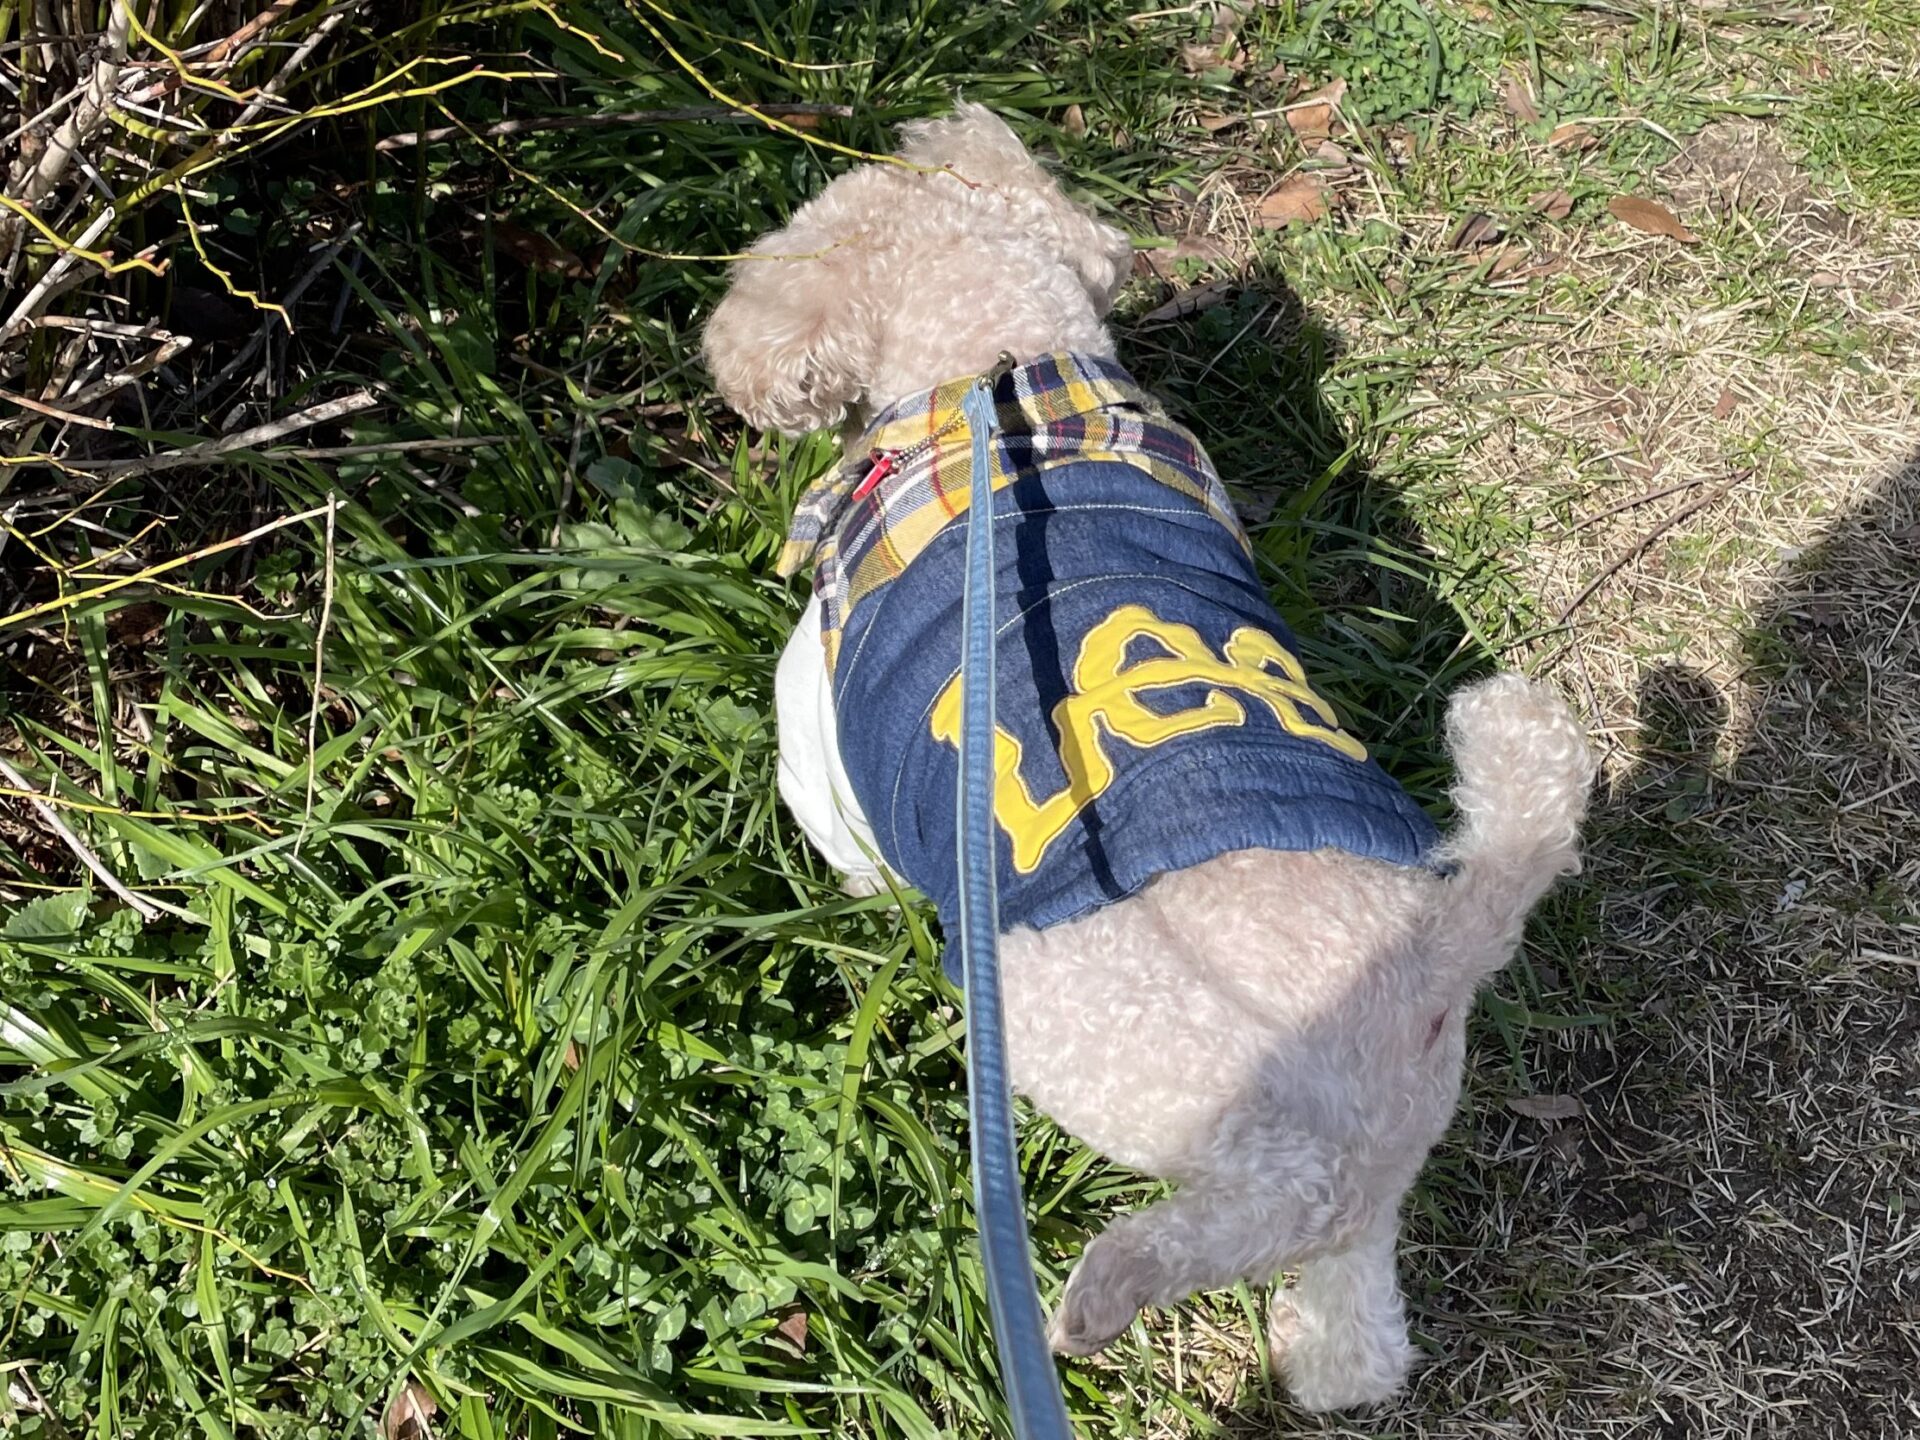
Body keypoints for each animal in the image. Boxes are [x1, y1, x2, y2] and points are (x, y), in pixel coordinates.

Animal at [706, 104, 1589, 1420]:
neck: (992, 365)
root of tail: (1439, 951)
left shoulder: (818, 738)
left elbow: (843, 837)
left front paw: (863, 901)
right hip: (1390, 1141)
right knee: (1359, 1302)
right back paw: (1319, 1361)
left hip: (1097, 1041)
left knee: (1260, 1215)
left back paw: (1098, 1294)